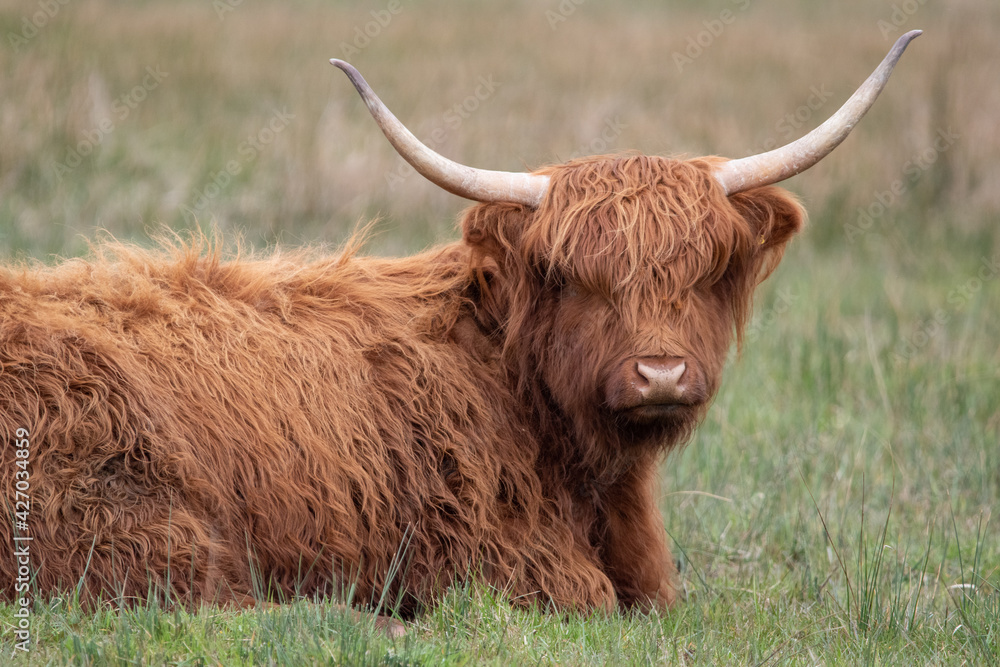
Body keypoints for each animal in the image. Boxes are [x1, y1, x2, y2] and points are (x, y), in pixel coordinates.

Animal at [0, 28, 920, 628]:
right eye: (577, 279)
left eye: (700, 274)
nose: (660, 374)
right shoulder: (494, 553)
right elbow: (586, 598)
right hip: (135, 515)